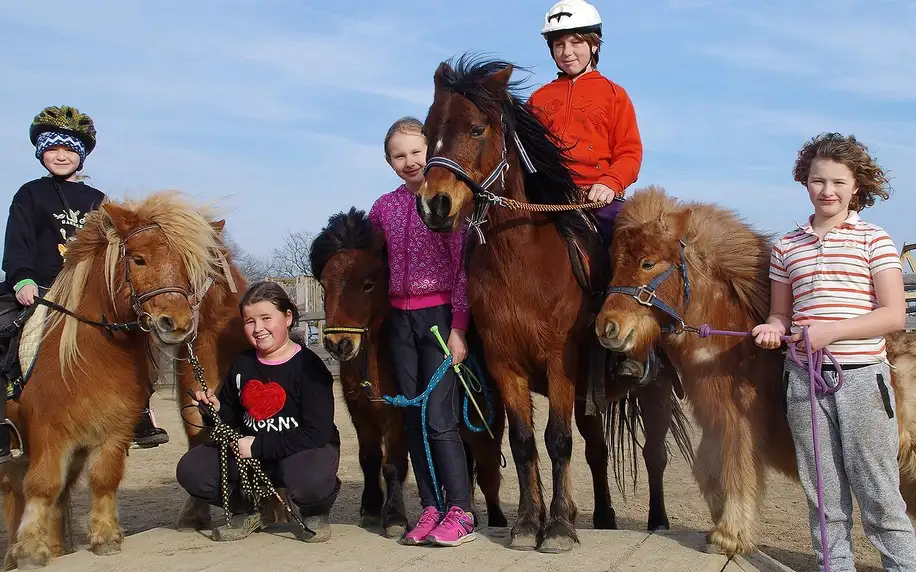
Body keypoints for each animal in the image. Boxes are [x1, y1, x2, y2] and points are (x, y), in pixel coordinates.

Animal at [0, 191, 247, 568]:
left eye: (188, 264)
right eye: (139, 259)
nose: (176, 322)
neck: (90, 358)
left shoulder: (114, 431)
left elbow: (104, 479)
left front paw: (104, 537)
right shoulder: (49, 431)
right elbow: (42, 484)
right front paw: (29, 550)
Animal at [308, 208, 508, 536]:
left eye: (368, 283)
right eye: (324, 285)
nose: (339, 344)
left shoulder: (399, 415)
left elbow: (394, 464)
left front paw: (394, 518)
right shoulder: (360, 412)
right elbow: (369, 459)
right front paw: (371, 509)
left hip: (483, 423)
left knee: (487, 467)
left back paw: (496, 520)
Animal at [414, 55, 688, 552]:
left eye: (477, 128)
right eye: (427, 131)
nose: (434, 206)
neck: (522, 263)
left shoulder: (560, 363)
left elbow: (557, 441)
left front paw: (558, 527)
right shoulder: (507, 366)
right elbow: (525, 442)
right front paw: (528, 523)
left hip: (652, 390)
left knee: (653, 454)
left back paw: (656, 522)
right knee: (597, 450)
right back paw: (602, 517)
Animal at [596, 185, 916, 556]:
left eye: (647, 263)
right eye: (614, 265)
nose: (607, 327)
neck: (735, 346)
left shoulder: (738, 421)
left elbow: (736, 466)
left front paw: (729, 535)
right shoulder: (714, 422)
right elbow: (706, 468)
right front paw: (725, 526)